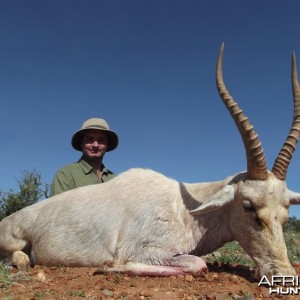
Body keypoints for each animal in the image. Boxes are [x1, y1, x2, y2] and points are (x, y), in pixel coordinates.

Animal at [0, 44, 300, 278]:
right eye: (248, 206)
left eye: (286, 212)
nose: (283, 274)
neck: (186, 210)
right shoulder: (145, 249)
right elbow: (197, 263)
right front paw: (110, 266)